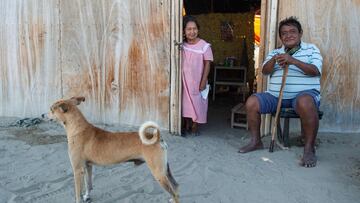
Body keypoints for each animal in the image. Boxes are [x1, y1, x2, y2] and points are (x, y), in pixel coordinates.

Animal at [45, 96, 179, 203]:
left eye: (51, 109)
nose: (42, 115)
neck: (77, 128)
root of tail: (157, 138)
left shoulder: (77, 170)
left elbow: (78, 193)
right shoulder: (87, 166)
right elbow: (88, 185)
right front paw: (87, 197)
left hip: (158, 173)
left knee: (174, 192)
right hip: (165, 170)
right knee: (176, 187)